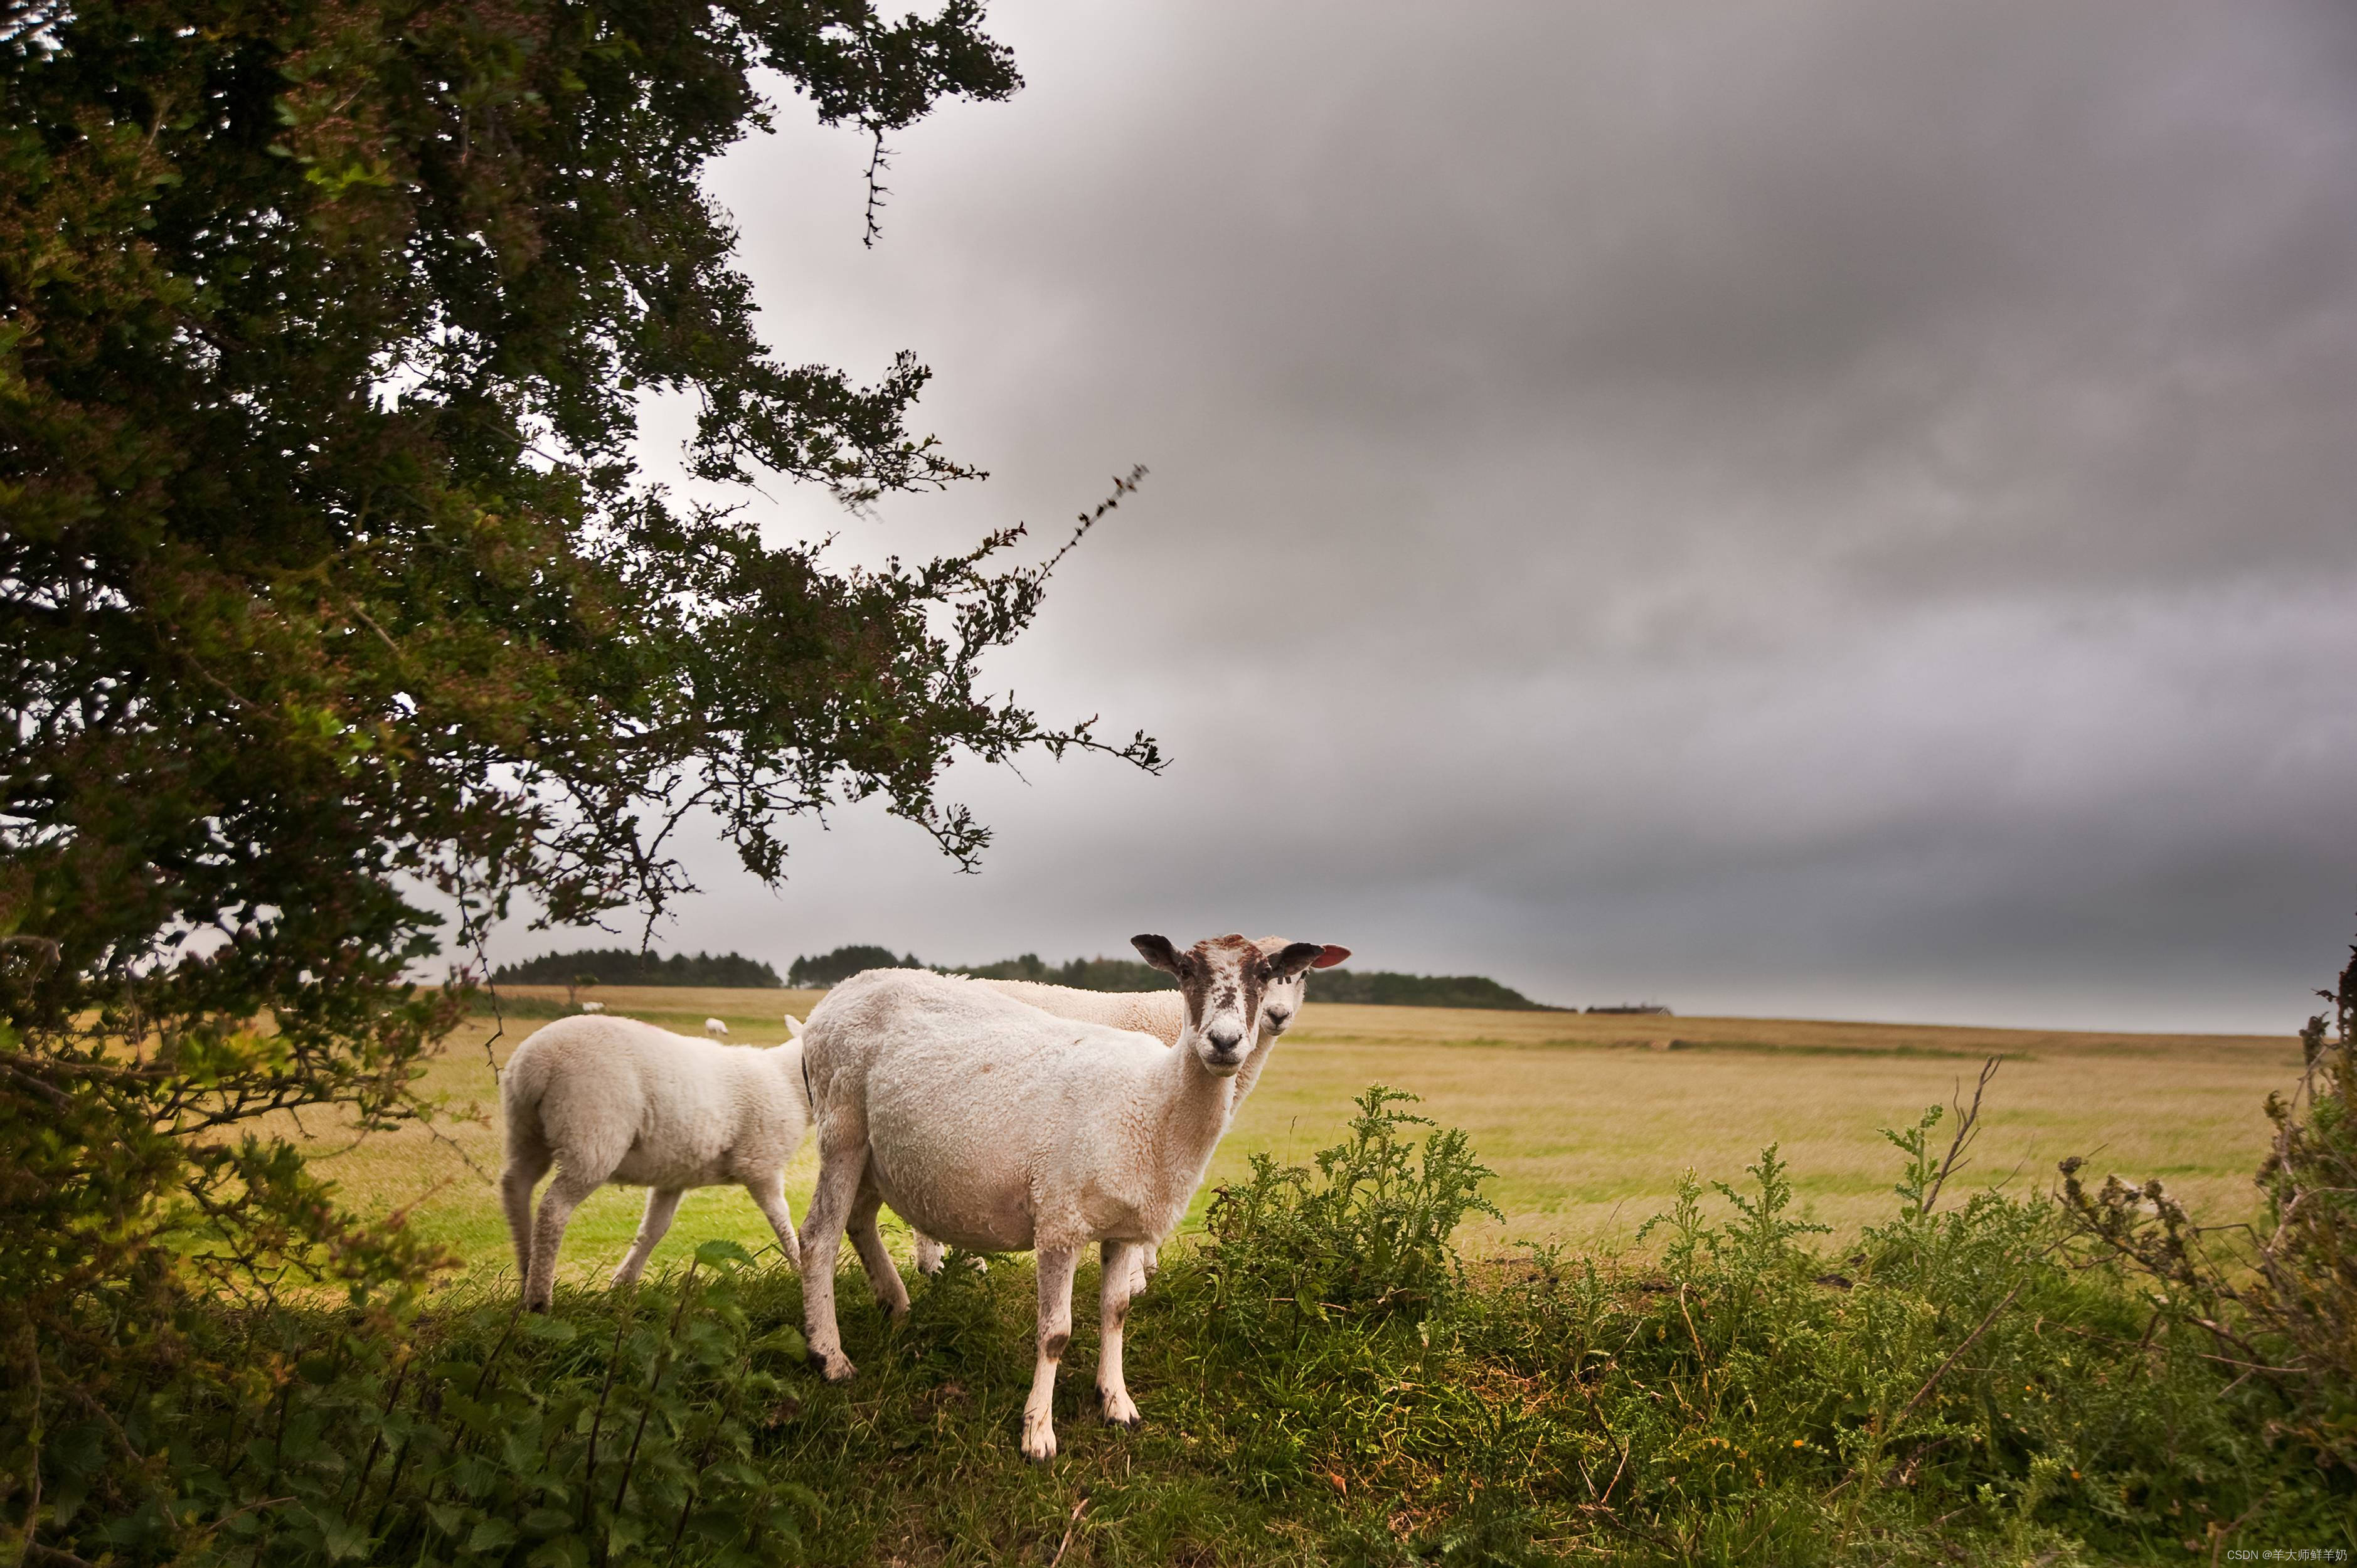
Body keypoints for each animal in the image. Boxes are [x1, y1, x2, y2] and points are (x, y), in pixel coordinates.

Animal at [497, 1014, 811, 1311]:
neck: (790, 1084)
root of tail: (536, 1060)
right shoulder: (761, 1163)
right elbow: (782, 1219)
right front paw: (800, 1268)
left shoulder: (674, 1177)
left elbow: (654, 1230)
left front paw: (623, 1284)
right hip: (591, 1131)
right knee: (554, 1210)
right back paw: (539, 1298)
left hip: (526, 1126)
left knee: (516, 1185)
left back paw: (526, 1270)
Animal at [801, 929, 1338, 1452]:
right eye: (1186, 971)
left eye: (1268, 974)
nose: (1225, 1042)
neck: (1153, 1102)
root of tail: (845, 987)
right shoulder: (1060, 1223)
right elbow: (1055, 1334)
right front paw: (1037, 1431)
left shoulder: (1124, 1228)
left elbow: (1116, 1312)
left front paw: (1116, 1402)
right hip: (841, 1126)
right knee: (818, 1236)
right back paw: (830, 1357)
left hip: (880, 1153)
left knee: (858, 1221)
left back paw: (895, 1306)